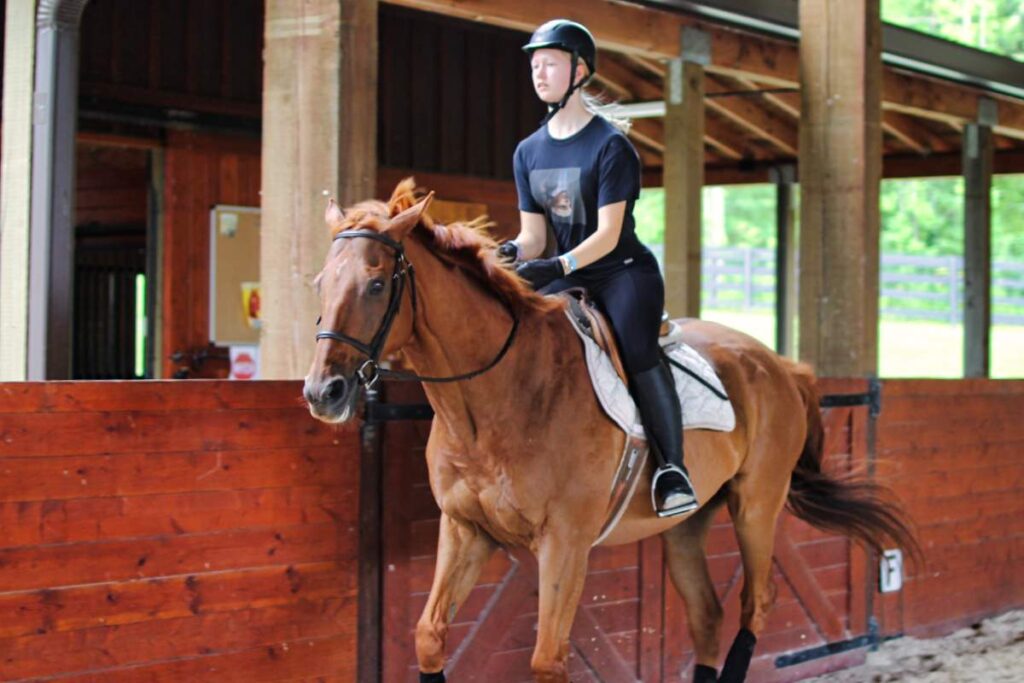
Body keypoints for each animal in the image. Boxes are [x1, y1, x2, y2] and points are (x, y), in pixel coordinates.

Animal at [301, 181, 913, 683]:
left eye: (376, 284)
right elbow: (429, 636)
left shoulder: (565, 542)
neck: (496, 400)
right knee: (708, 616)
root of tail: (780, 364)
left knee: (755, 603)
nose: (322, 392)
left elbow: (548, 659)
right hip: (688, 525)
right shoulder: (465, 529)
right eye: (321, 283)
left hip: (757, 505)